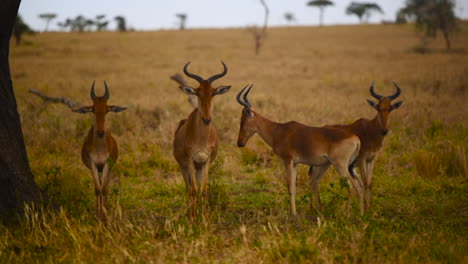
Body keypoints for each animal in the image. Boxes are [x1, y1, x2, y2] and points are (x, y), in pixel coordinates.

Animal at [72, 81, 126, 221]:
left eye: (107, 109)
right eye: (93, 109)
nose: (101, 132)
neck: (100, 149)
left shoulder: (106, 163)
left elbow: (104, 189)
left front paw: (105, 215)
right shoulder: (93, 164)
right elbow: (97, 189)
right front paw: (98, 214)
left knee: (105, 185)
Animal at [173, 62, 231, 219]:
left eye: (213, 92)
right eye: (198, 92)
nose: (206, 119)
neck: (201, 139)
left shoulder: (206, 162)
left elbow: (203, 191)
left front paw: (204, 218)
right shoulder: (190, 162)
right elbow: (193, 191)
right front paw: (193, 219)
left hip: (198, 168)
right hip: (184, 167)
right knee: (188, 189)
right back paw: (189, 215)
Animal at [236, 85, 364, 216]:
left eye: (242, 122)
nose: (240, 143)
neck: (278, 130)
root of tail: (355, 139)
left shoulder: (288, 161)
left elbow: (290, 187)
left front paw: (293, 214)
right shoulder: (295, 164)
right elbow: (294, 187)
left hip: (339, 165)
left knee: (351, 186)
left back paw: (346, 214)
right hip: (344, 166)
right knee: (359, 186)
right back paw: (361, 213)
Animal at [324, 81, 404, 209]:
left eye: (390, 108)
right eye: (378, 108)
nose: (385, 130)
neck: (370, 129)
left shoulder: (371, 159)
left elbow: (370, 183)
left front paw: (369, 207)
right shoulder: (362, 158)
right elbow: (365, 182)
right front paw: (366, 208)